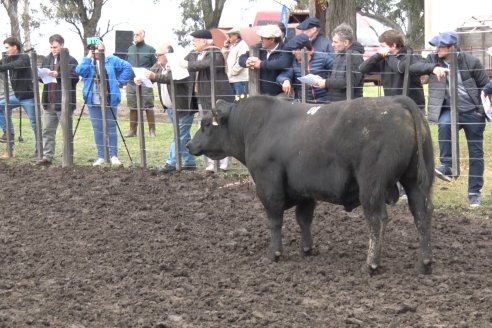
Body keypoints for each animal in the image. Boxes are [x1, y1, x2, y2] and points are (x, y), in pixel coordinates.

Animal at [186, 95, 432, 274]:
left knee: (377, 220)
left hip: (372, 185)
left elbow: (275, 220)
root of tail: (396, 102)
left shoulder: (268, 185)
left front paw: (275, 253)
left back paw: (371, 264)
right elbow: (304, 219)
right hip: (415, 182)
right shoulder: (304, 190)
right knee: (422, 214)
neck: (257, 126)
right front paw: (307, 249)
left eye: (206, 124)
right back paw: (425, 263)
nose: (189, 144)